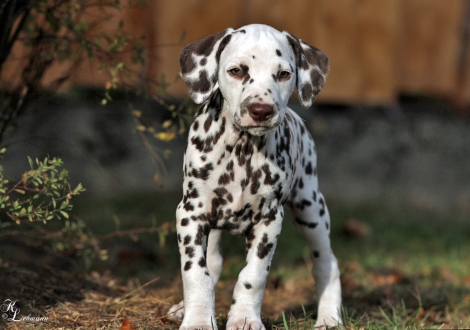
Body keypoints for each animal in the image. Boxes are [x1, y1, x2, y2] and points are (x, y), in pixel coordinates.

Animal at [170, 23, 342, 330]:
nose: (261, 110)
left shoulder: (269, 221)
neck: (242, 150)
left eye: (284, 74)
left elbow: (253, 276)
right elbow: (196, 273)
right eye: (237, 70)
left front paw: (244, 319)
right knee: (213, 262)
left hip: (311, 208)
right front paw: (198, 319)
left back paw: (328, 317)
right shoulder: (190, 213)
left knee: (327, 262)